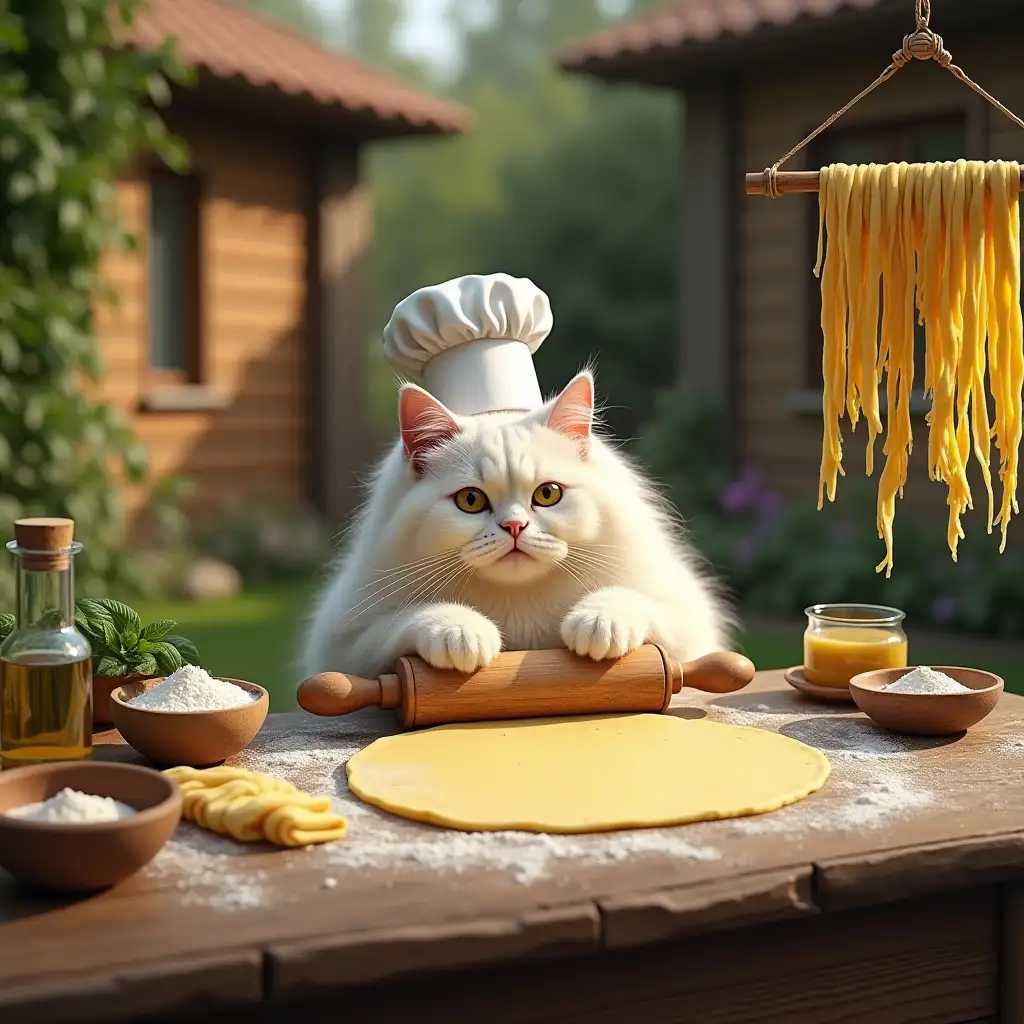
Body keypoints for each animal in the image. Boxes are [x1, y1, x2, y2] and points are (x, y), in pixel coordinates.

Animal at [299, 372, 733, 684]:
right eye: (470, 501)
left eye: (548, 494)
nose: (514, 526)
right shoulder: (344, 642)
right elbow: (406, 618)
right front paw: (464, 635)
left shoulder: (688, 618)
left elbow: (630, 600)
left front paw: (598, 625)